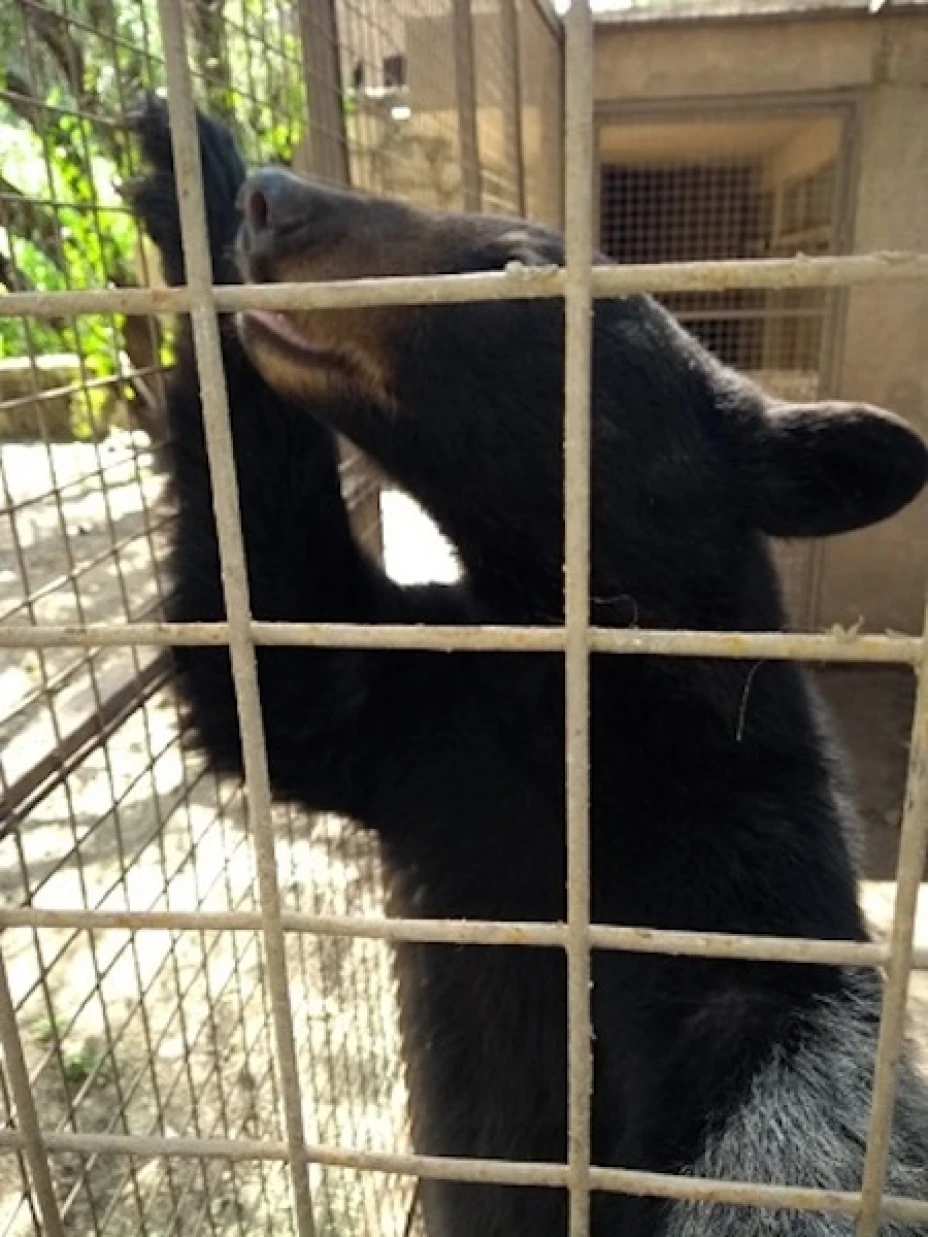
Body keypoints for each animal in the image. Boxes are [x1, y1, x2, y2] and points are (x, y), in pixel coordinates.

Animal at [128, 98, 928, 1236]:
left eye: (514, 263)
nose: (275, 199)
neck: (572, 685)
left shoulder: (738, 856)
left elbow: (781, 1096)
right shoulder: (437, 716)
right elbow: (279, 652)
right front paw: (188, 169)